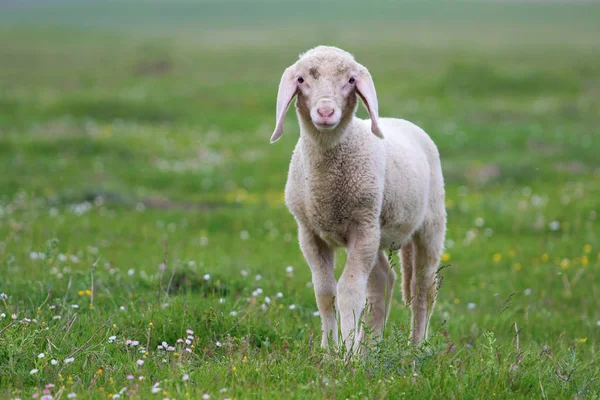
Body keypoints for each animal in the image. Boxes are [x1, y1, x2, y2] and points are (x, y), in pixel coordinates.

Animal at [270, 45, 446, 350]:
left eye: (351, 80)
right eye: (301, 79)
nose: (325, 111)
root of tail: (403, 122)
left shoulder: (361, 228)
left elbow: (350, 291)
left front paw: (347, 351)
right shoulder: (309, 233)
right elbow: (325, 293)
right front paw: (330, 350)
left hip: (430, 224)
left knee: (423, 287)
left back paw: (416, 346)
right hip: (377, 232)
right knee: (384, 279)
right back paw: (371, 347)